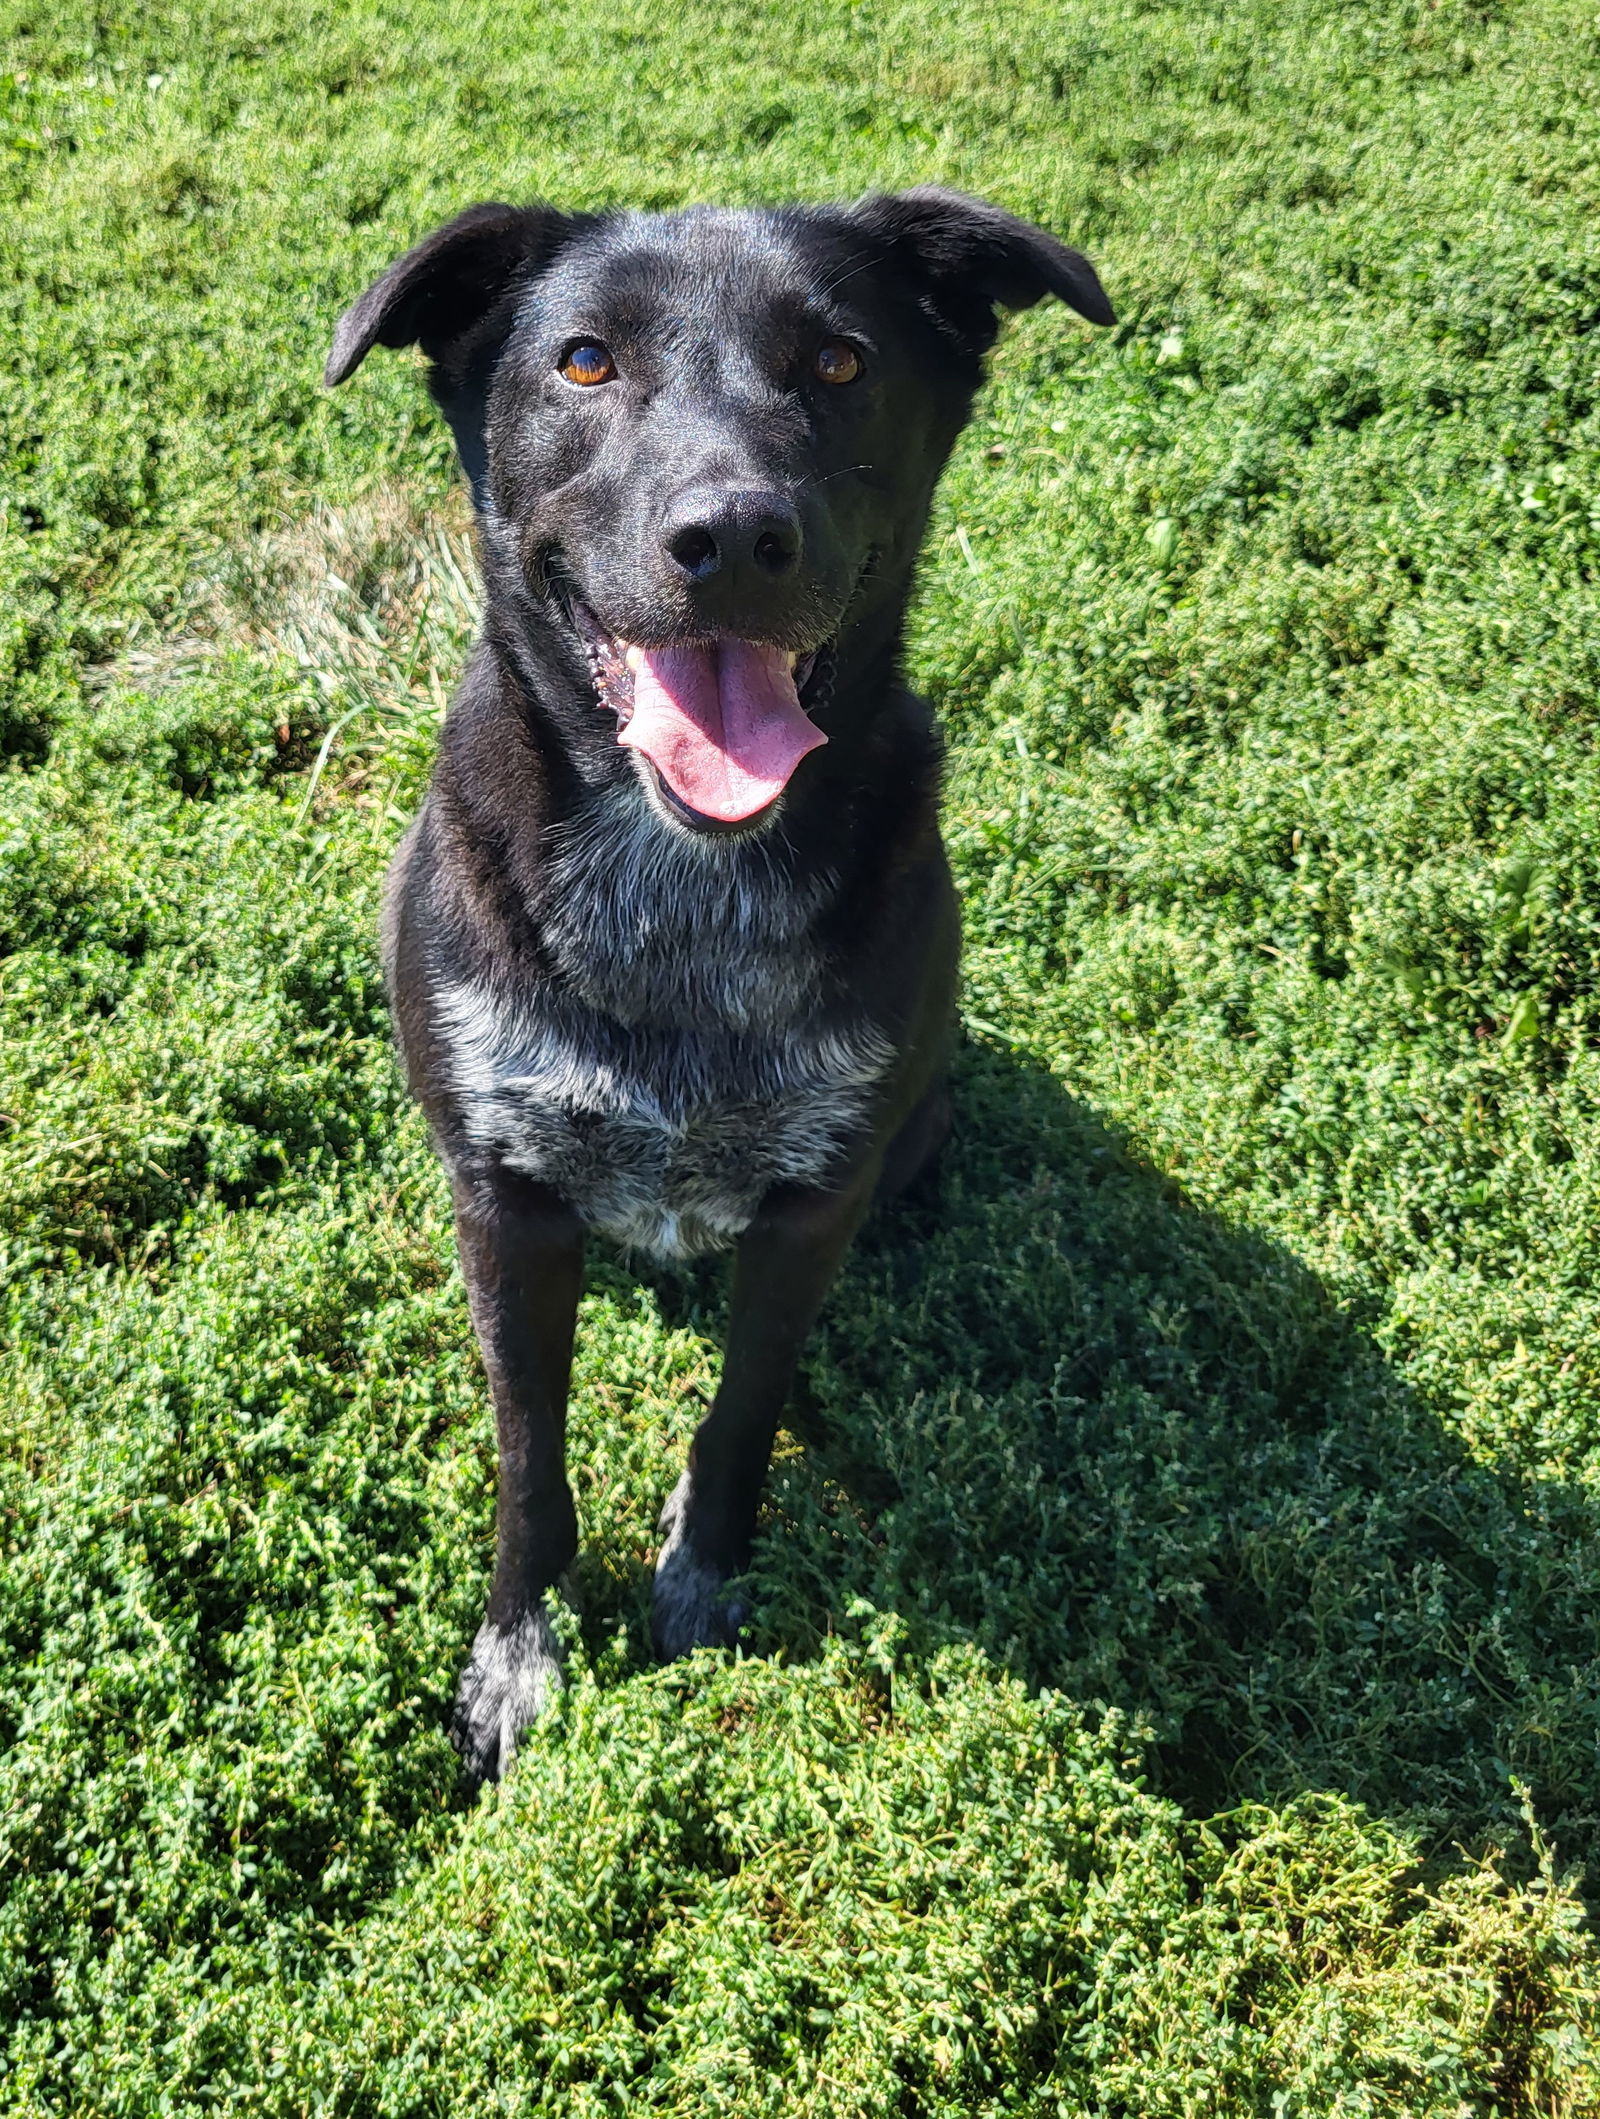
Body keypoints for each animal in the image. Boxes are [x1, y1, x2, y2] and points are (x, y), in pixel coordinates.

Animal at [326, 182, 1110, 1779]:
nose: (736, 535)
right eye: (582, 361)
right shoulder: (505, 1200)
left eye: (841, 362)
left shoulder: (814, 1198)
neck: (682, 885)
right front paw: (519, 1651)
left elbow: (745, 1409)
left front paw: (701, 1565)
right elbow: (530, 1457)